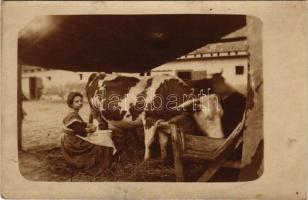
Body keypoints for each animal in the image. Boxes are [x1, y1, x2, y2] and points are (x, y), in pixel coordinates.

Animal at [85, 72, 223, 160]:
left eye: (222, 114)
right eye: (208, 118)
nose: (221, 139)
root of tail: (97, 74)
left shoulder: (163, 122)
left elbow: (163, 142)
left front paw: (163, 159)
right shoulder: (149, 120)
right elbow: (149, 142)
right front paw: (146, 161)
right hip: (96, 113)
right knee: (99, 129)